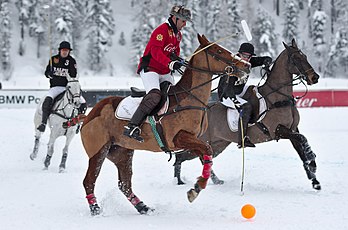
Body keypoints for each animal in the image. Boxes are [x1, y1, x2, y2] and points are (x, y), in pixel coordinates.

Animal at [80, 34, 250, 216]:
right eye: (217, 51)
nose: (246, 66)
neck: (190, 98)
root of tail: (90, 114)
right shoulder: (178, 138)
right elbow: (206, 151)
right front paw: (196, 188)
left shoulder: (194, 140)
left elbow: (207, 155)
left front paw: (197, 186)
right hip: (98, 151)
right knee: (89, 181)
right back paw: (95, 209)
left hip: (122, 152)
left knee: (124, 184)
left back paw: (143, 207)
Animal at [173, 39, 322, 190]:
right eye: (296, 58)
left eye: (305, 56)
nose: (314, 77)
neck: (278, 97)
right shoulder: (278, 130)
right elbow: (302, 139)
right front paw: (312, 160)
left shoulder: (292, 129)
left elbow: (301, 148)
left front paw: (314, 178)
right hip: (204, 141)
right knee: (183, 157)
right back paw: (179, 181)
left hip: (218, 144)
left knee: (198, 158)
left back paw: (213, 180)